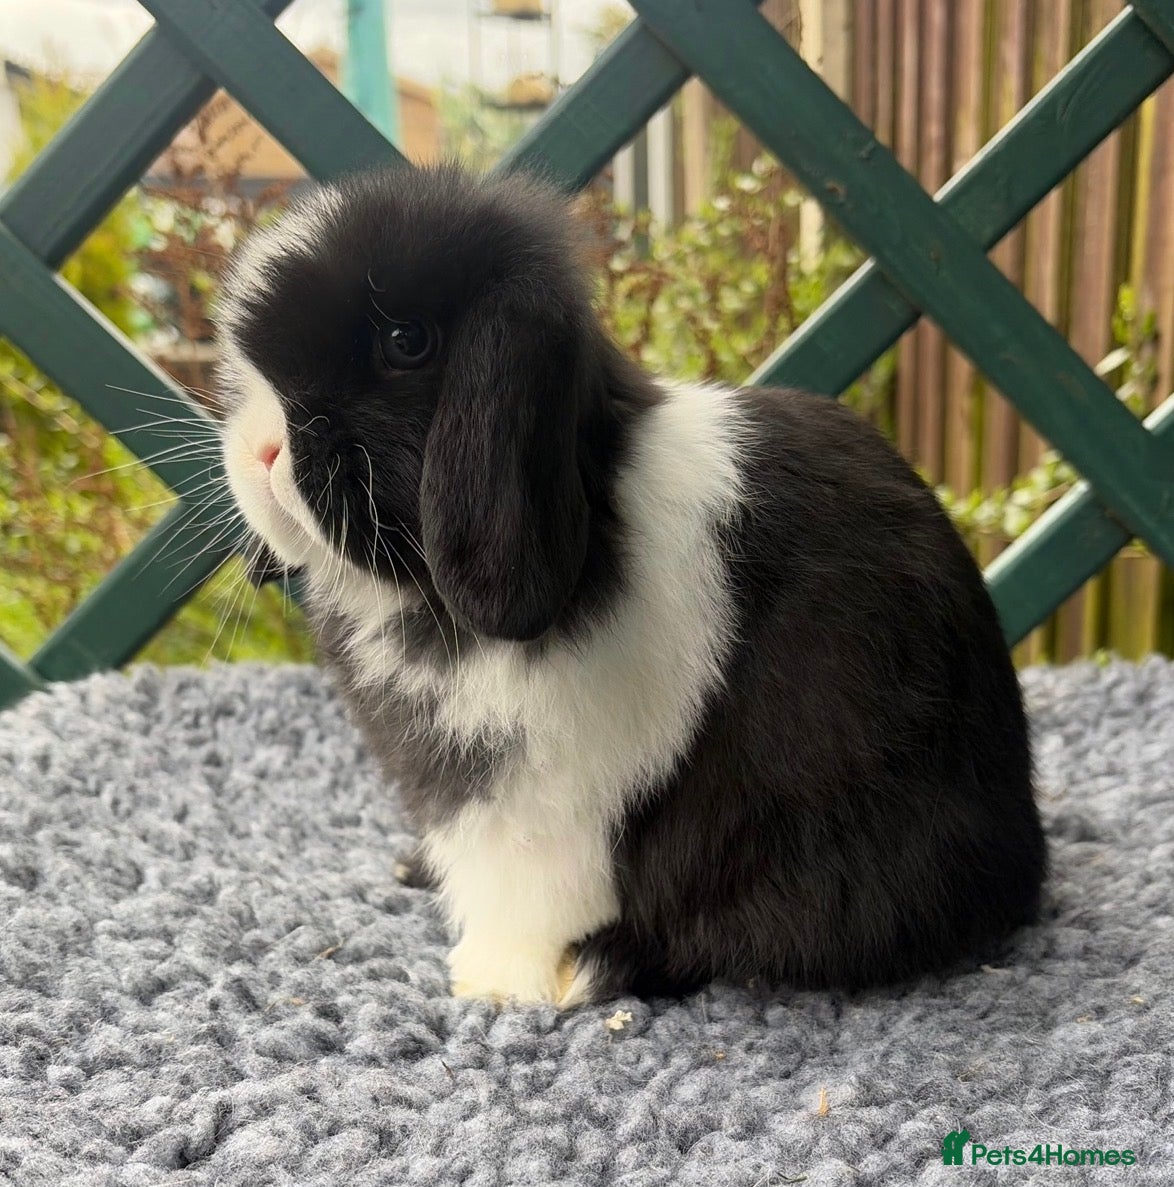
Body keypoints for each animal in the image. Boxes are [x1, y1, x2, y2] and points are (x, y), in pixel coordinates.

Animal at [215, 163, 1046, 1007]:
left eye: (405, 342)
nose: (260, 448)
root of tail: (1020, 860)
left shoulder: (541, 795)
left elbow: (527, 884)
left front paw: (494, 979)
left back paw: (597, 964)